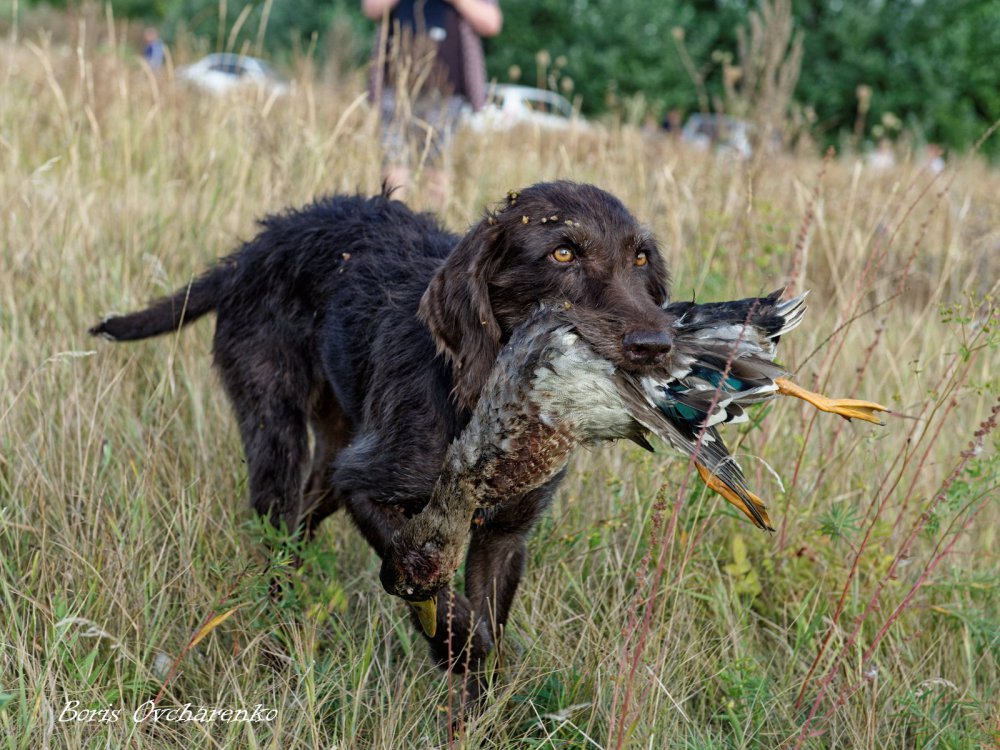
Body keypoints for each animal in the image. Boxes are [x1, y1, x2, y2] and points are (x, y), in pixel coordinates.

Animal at [92, 182, 672, 704]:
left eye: (640, 257)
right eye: (563, 252)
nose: (656, 344)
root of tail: (252, 249)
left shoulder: (505, 539)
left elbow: (486, 629)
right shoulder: (364, 487)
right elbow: (426, 581)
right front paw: (457, 645)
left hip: (329, 460)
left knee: (299, 532)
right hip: (279, 440)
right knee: (277, 545)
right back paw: (277, 647)